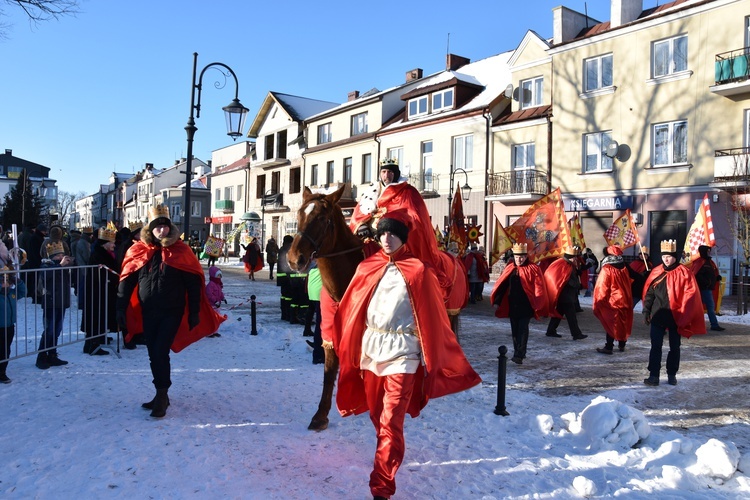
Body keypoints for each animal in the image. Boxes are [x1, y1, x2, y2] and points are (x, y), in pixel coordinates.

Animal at [288, 186, 364, 432]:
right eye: (300, 214)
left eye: (322, 218)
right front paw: (320, 415)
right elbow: (329, 373)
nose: (294, 259)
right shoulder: (330, 331)